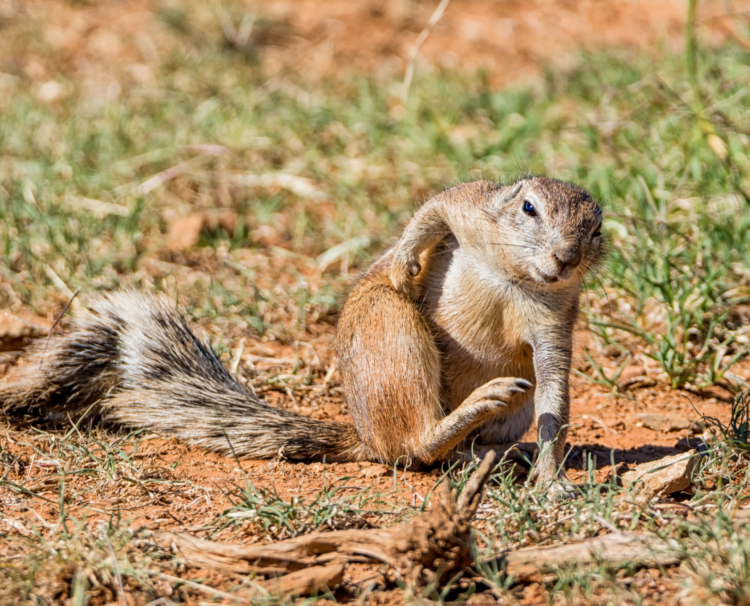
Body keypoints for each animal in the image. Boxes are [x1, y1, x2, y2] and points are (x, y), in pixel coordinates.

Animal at [2, 176, 604, 484]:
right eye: (529, 208)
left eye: (597, 228)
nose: (566, 258)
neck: (510, 277)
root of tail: (362, 437)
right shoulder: (470, 205)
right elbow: (431, 211)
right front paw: (405, 265)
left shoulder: (552, 324)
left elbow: (554, 397)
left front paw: (551, 480)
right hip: (391, 334)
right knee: (412, 448)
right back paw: (470, 415)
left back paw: (494, 455)